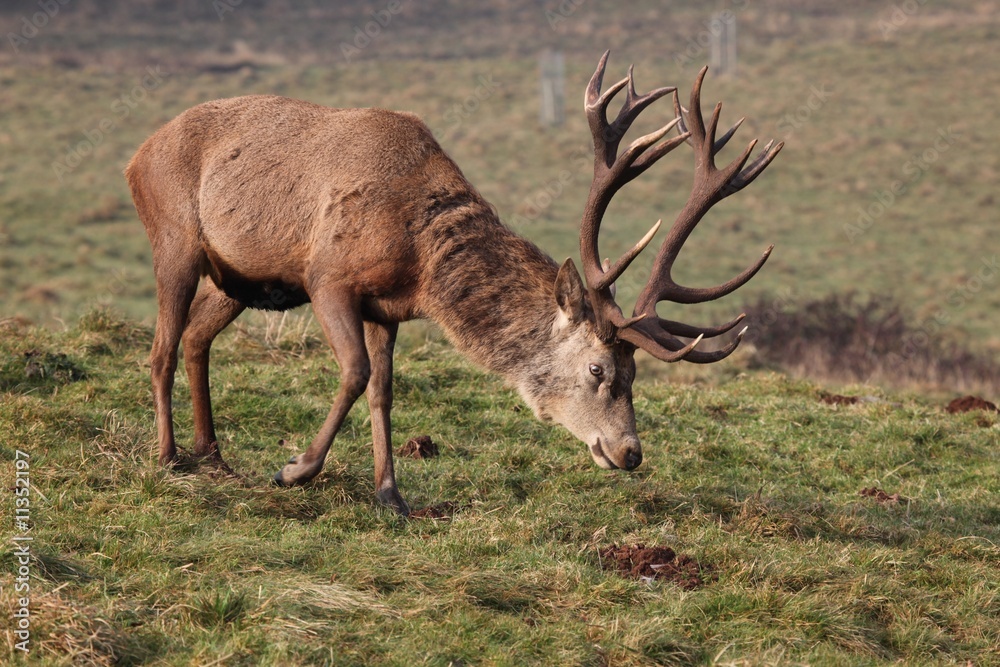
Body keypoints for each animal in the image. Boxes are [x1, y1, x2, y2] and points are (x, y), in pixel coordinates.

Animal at [125, 52, 782, 516]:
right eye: (598, 368)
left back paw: (214, 456)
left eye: (636, 372)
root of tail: (136, 155)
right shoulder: (327, 277)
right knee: (160, 347)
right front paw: (296, 470)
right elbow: (355, 373)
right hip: (174, 238)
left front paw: (391, 495)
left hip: (237, 279)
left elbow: (384, 389)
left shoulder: (384, 309)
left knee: (195, 339)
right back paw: (169, 457)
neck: (422, 261)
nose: (630, 452)